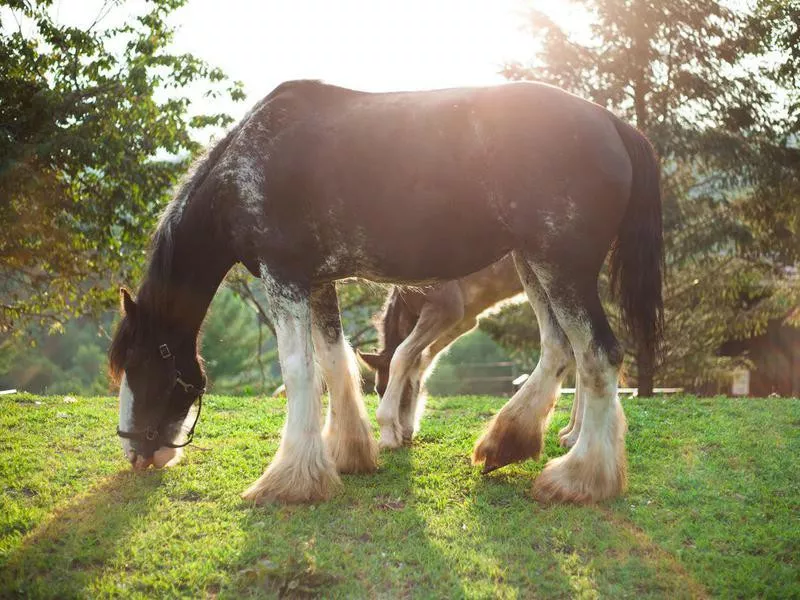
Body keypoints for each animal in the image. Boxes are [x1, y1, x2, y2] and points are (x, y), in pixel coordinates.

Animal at [109, 77, 664, 504]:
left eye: (137, 362)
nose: (136, 451)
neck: (246, 166)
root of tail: (611, 122)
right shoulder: (317, 282)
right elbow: (336, 364)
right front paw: (348, 453)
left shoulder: (285, 278)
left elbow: (302, 372)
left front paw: (288, 480)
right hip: (533, 263)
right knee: (559, 349)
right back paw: (510, 441)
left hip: (559, 267)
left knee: (598, 354)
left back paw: (580, 477)